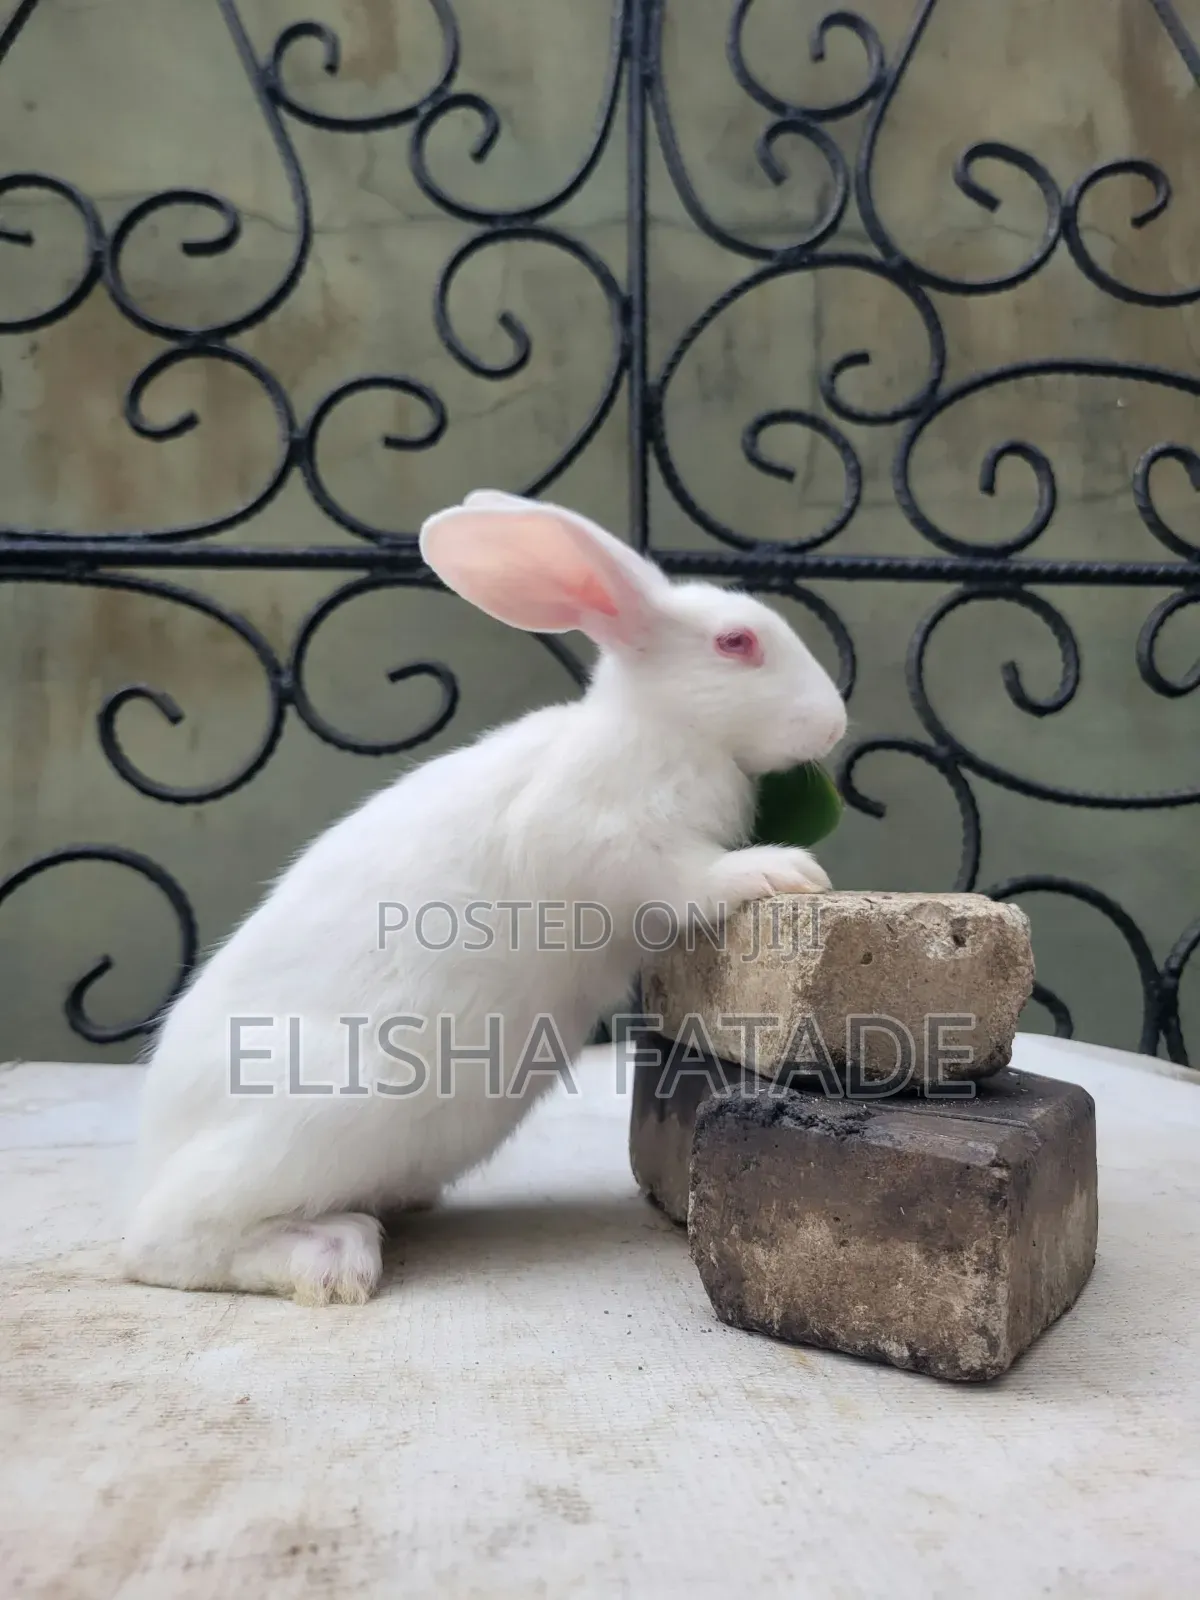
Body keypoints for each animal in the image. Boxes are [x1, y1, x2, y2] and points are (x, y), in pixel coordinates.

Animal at [120, 489, 847, 1306]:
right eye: (736, 642)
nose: (835, 724)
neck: (661, 730)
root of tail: (151, 1153)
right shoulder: (608, 843)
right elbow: (688, 878)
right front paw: (783, 870)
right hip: (324, 1115)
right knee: (167, 1246)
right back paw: (334, 1258)